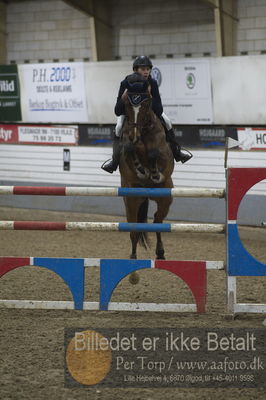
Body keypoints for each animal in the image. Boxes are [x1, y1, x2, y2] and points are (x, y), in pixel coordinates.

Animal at [119, 84, 175, 262]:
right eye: (127, 105)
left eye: (145, 105)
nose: (134, 135)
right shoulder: (128, 145)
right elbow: (130, 150)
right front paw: (140, 169)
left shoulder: (163, 153)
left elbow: (153, 154)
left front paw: (154, 172)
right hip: (131, 199)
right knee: (134, 228)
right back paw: (133, 256)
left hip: (165, 196)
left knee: (157, 220)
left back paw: (161, 252)